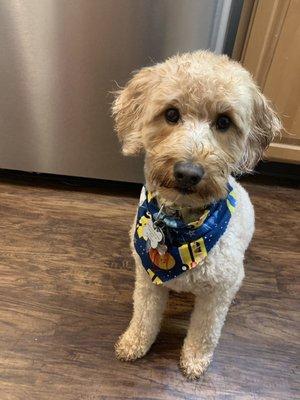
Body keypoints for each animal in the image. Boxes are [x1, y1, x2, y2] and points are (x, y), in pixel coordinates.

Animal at [110, 51, 282, 380]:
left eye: (224, 121)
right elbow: (144, 317)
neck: (181, 226)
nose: (188, 173)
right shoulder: (147, 279)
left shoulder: (218, 293)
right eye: (171, 114)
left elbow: (205, 331)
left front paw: (194, 359)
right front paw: (134, 343)